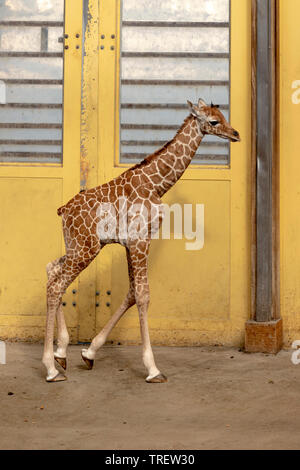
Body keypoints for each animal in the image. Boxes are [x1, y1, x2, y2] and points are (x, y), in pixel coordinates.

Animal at [42, 99, 239, 382]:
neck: (156, 183)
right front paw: (153, 369)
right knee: (57, 286)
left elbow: (132, 293)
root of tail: (63, 211)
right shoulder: (141, 240)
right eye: (213, 121)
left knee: (52, 271)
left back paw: (61, 354)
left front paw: (89, 353)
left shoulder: (130, 244)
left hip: (76, 245)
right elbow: (144, 295)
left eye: (223, 115)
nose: (235, 134)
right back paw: (50, 368)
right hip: (85, 249)